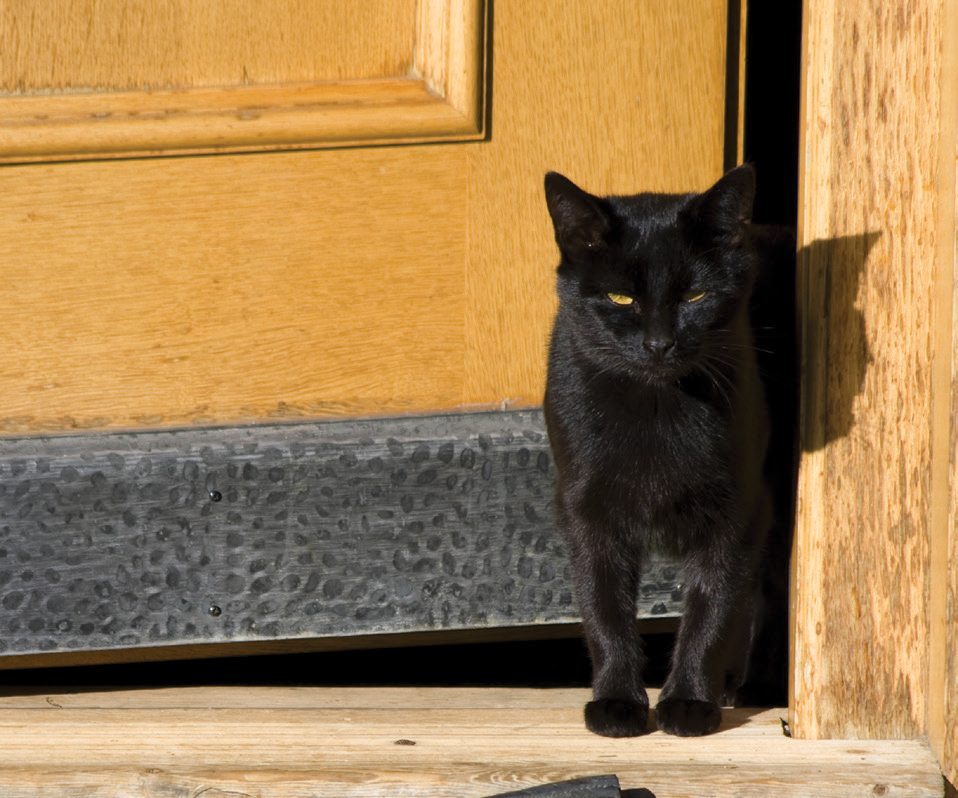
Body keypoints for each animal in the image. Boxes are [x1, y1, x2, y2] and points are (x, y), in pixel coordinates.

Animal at [542, 164, 795, 737]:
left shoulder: (739, 511)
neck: (657, 411)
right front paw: (617, 703)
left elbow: (712, 610)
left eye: (695, 297)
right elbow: (604, 607)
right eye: (620, 299)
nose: (659, 344)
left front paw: (689, 702)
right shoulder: (585, 510)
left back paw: (756, 685)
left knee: (771, 592)